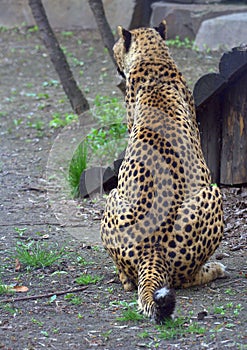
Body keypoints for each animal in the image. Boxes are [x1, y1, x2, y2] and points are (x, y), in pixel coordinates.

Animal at [100, 20, 226, 324]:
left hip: (114, 196)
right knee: (182, 279)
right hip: (213, 193)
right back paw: (216, 268)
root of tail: (152, 249)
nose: (114, 59)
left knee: (138, 279)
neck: (153, 57)